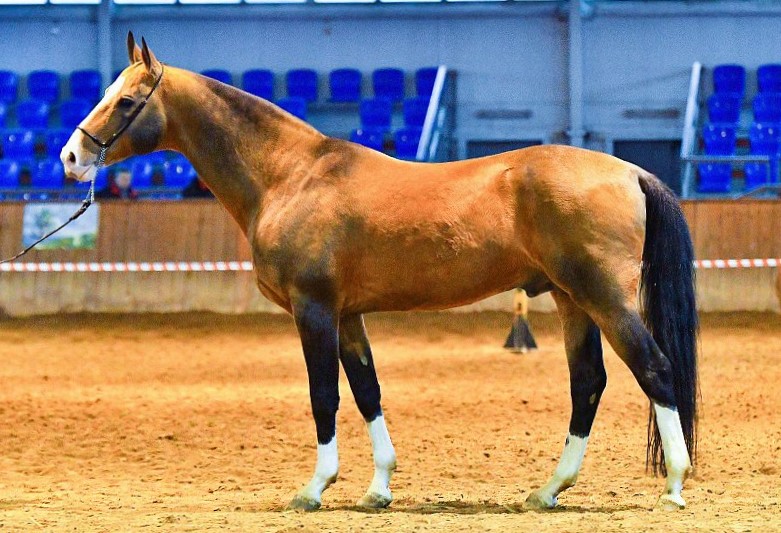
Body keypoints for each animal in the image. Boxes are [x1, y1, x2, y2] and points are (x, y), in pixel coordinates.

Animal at [61, 33, 698, 512]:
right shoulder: (348, 316)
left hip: (604, 298)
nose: (71, 157)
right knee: (587, 382)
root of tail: (630, 171)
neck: (290, 176)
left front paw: (315, 488)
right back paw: (548, 490)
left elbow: (324, 394)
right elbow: (367, 391)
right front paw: (378, 488)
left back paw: (673, 486)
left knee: (655, 368)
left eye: (126, 101)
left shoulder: (314, 309)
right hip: (572, 300)